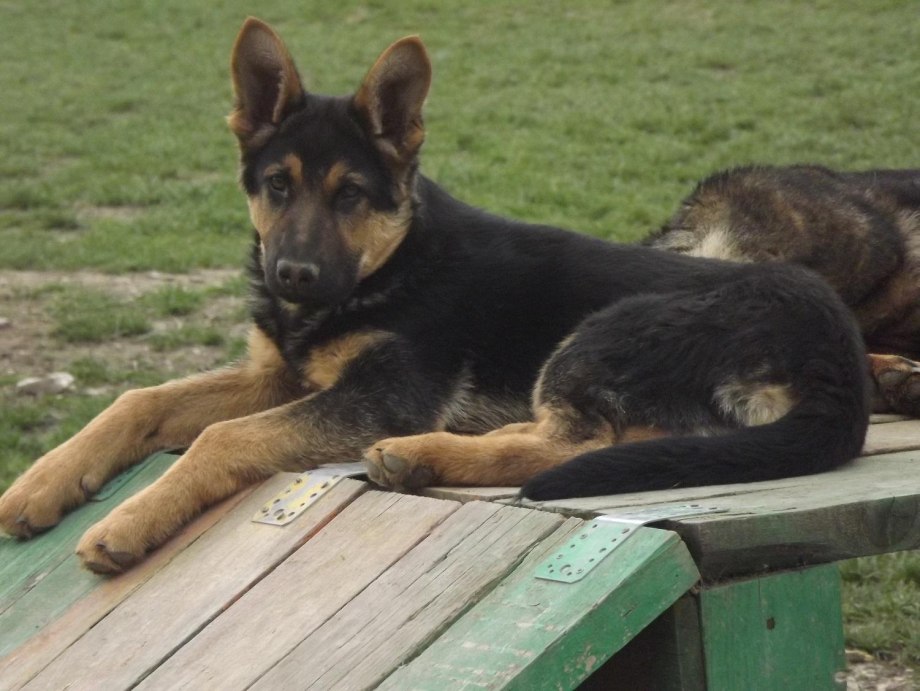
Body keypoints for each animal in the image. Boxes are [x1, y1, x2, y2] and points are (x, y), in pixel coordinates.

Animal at [0, 18, 904, 575]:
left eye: (351, 195)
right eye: (277, 186)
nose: (293, 277)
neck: (388, 266)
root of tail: (836, 360)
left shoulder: (376, 392)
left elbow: (222, 437)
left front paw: (124, 523)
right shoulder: (279, 375)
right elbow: (138, 397)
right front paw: (40, 485)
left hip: (599, 333)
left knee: (576, 445)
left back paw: (424, 453)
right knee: (613, 439)